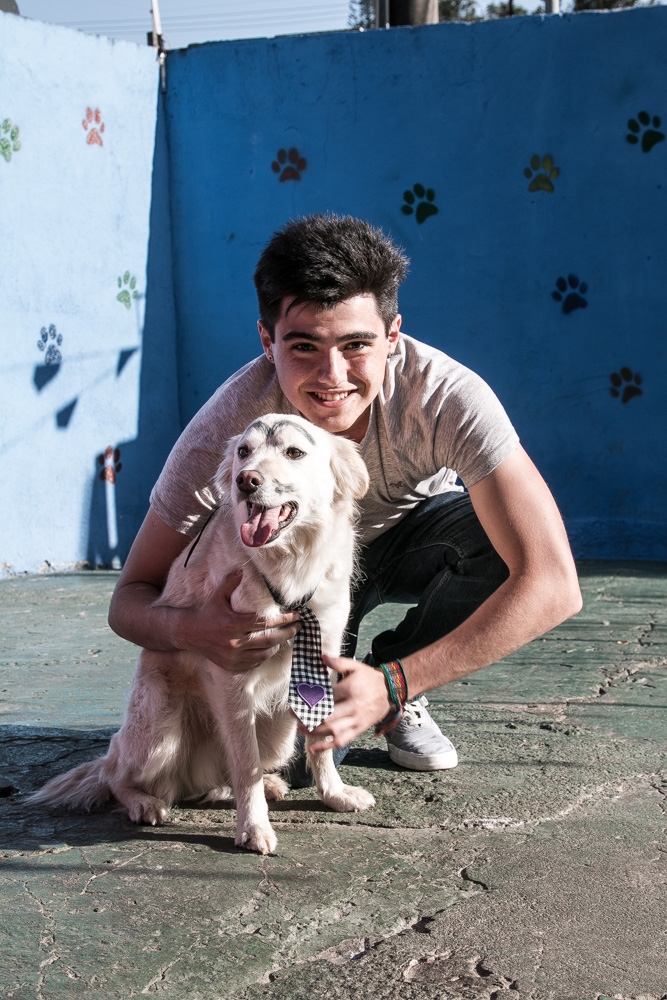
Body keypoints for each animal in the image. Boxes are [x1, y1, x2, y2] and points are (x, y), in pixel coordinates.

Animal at [32, 412, 376, 852]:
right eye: (244, 451)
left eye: (294, 452)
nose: (245, 480)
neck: (288, 567)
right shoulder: (232, 671)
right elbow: (244, 763)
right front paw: (253, 827)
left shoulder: (322, 659)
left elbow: (320, 741)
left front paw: (334, 794)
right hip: (159, 728)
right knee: (117, 776)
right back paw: (145, 802)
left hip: (277, 733)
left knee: (214, 780)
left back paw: (262, 784)